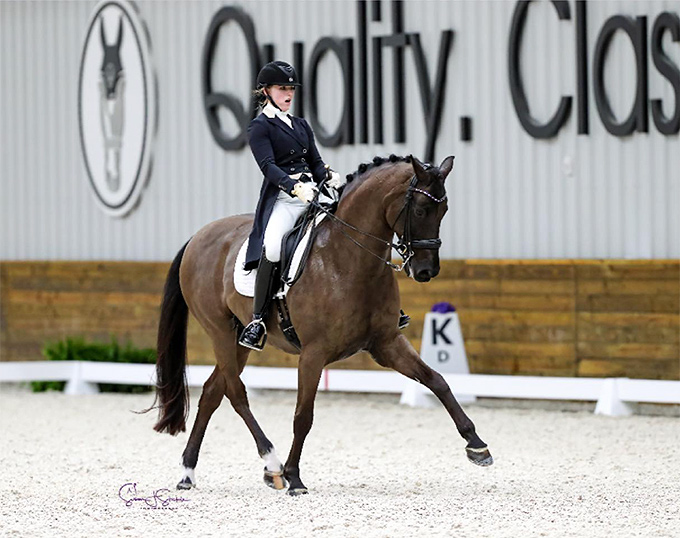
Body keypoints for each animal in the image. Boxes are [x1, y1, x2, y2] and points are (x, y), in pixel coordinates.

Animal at [146, 153, 492, 492]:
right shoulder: (313, 354)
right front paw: (294, 477)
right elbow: (303, 416)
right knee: (236, 392)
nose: (425, 271)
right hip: (218, 330)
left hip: (238, 339)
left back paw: (189, 472)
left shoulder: (387, 344)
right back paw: (272, 464)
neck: (348, 259)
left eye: (443, 210)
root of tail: (198, 236)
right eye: (420, 209)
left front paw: (477, 445)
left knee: (212, 392)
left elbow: (437, 380)